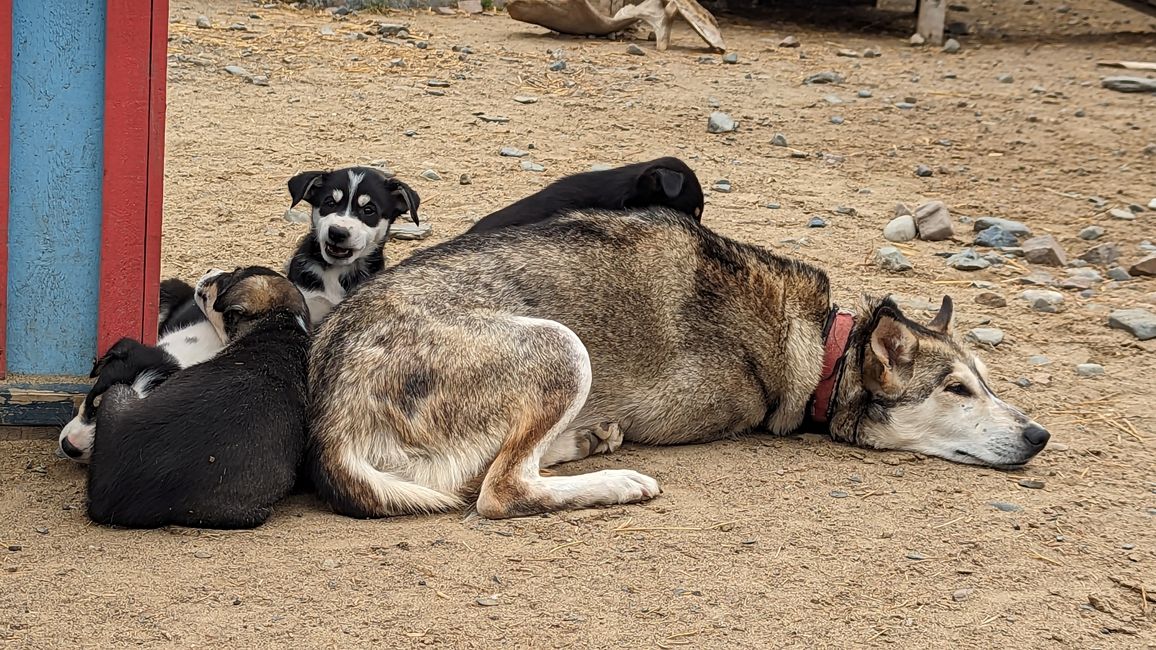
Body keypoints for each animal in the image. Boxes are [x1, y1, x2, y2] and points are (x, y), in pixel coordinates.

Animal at [305, 210, 1049, 518]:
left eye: (987, 382)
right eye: (957, 389)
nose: (1040, 434)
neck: (822, 344)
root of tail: (329, 408)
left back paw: (588, 442)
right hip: (562, 347)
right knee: (499, 489)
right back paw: (616, 480)